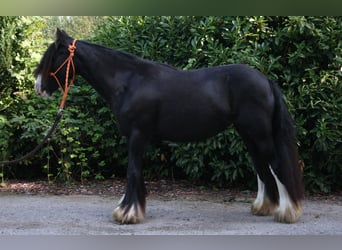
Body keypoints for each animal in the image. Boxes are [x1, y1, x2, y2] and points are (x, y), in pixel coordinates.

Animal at [33, 29, 304, 225]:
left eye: (52, 57)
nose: (38, 87)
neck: (129, 81)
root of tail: (265, 79)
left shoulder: (137, 136)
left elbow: (132, 171)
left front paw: (127, 214)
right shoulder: (136, 138)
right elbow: (136, 172)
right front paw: (130, 209)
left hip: (258, 134)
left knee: (276, 165)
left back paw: (287, 213)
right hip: (249, 135)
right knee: (261, 167)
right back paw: (263, 207)